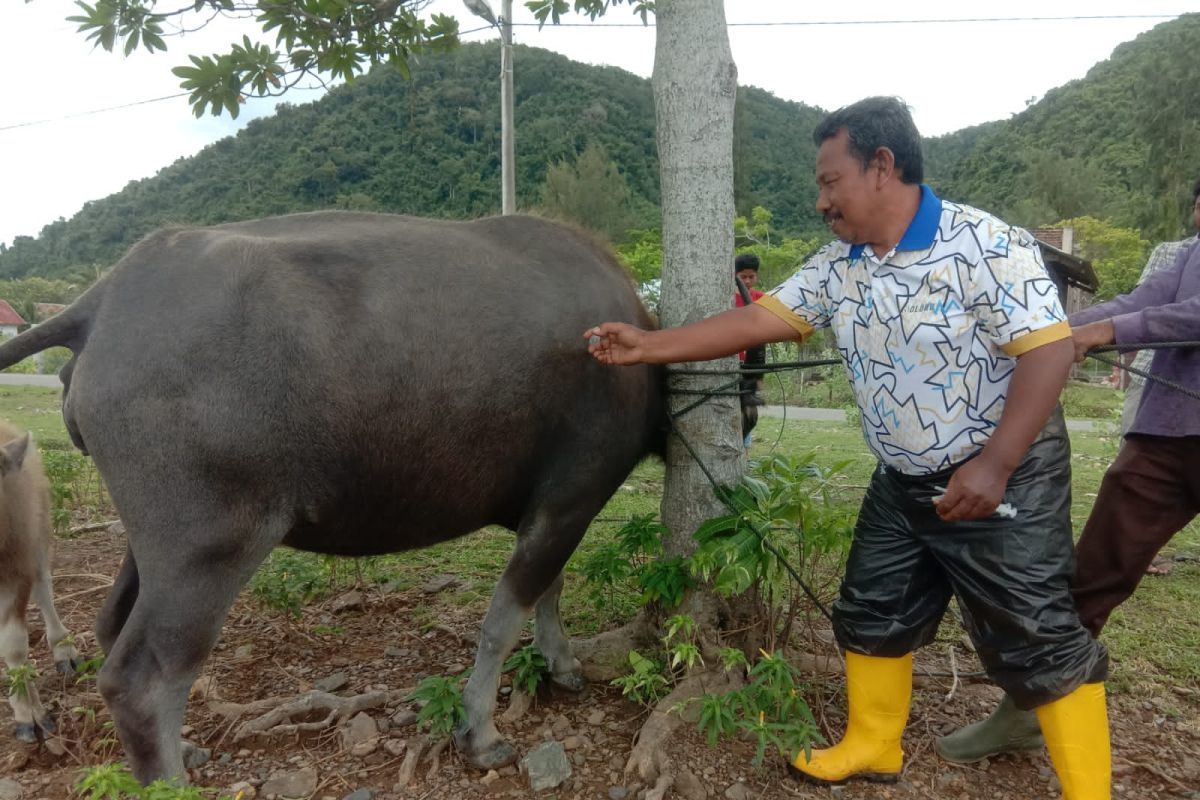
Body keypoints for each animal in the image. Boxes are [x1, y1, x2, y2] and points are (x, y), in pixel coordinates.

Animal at [0, 212, 672, 782]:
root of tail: (105, 298)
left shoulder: (546, 510)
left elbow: (547, 592)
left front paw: (562, 663)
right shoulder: (571, 498)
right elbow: (505, 618)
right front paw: (479, 732)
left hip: (150, 547)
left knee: (111, 626)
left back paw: (184, 746)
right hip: (208, 548)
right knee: (143, 679)